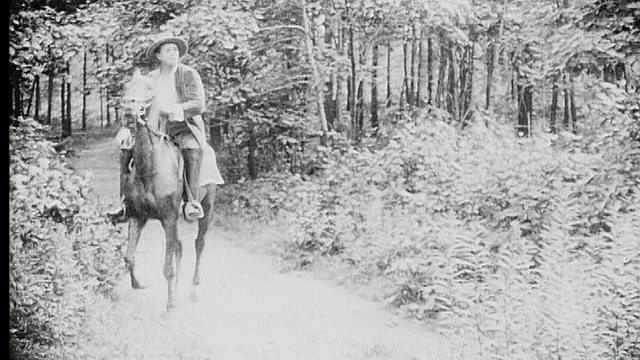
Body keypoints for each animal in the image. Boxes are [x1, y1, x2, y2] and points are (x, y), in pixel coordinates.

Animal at [119, 74, 219, 310]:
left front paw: (170, 305)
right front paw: (139, 284)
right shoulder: (138, 216)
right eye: (126, 85)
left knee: (198, 244)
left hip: (207, 208)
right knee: (179, 246)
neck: (150, 169)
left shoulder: (169, 217)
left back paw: (192, 290)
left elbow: (167, 267)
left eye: (149, 88)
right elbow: (130, 258)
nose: (127, 108)